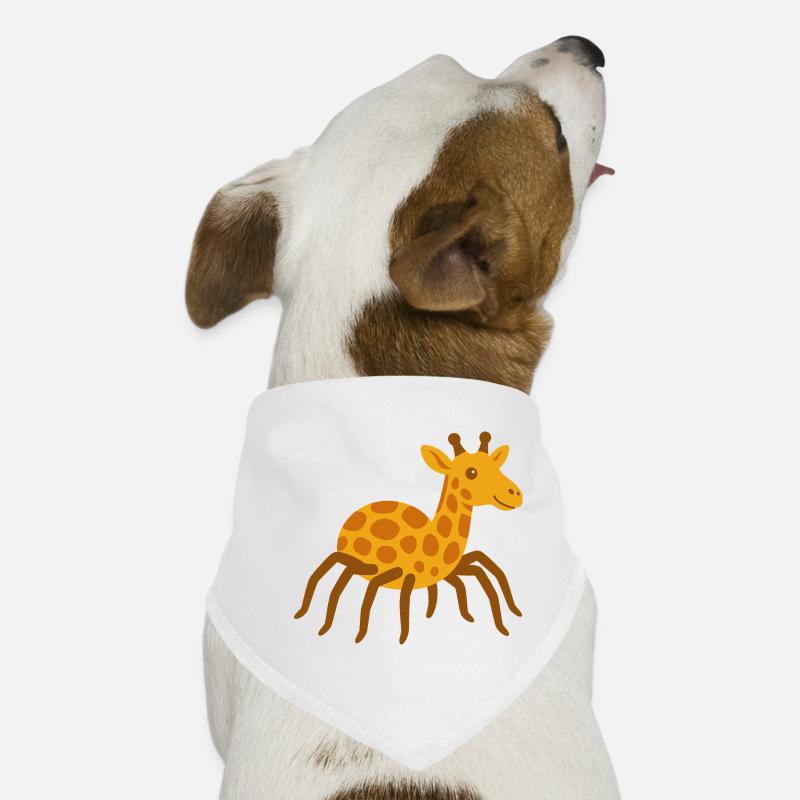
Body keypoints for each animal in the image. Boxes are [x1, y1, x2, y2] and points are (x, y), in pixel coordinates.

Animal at [294, 431, 524, 644]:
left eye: (497, 467)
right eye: (471, 472)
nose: (515, 493)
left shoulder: (457, 568)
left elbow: (486, 573)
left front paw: (501, 617)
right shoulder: (401, 576)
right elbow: (391, 599)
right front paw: (392, 637)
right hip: (356, 563)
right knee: (331, 572)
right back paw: (308, 616)